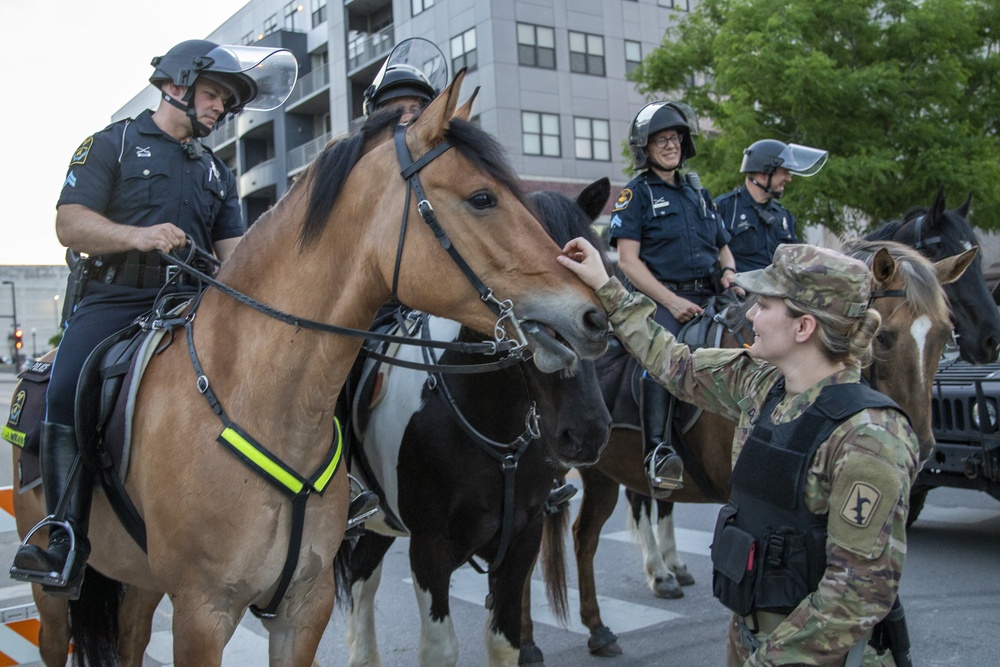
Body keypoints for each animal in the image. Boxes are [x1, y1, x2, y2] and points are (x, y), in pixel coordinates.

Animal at [340, 176, 612, 667]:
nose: (586, 433)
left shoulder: (522, 538)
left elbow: (505, 640)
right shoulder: (429, 548)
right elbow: (440, 647)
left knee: (360, 577)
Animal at [528, 236, 972, 656]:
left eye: (945, 335)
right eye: (885, 337)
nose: (920, 448)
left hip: (605, 471)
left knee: (588, 533)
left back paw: (611, 616)